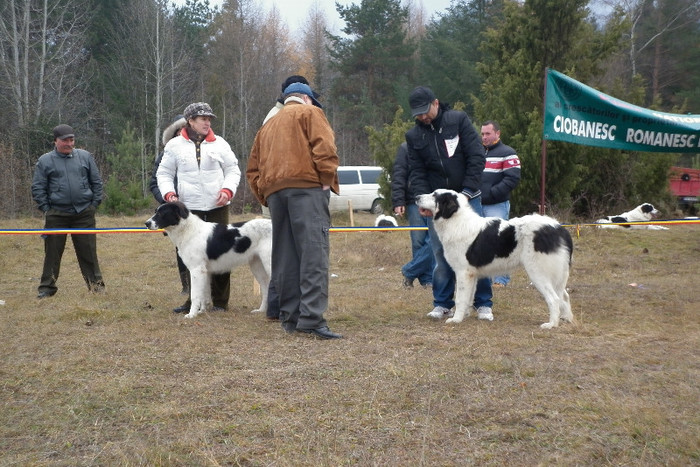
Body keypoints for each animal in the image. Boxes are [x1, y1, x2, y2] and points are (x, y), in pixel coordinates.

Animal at [416, 189, 576, 330]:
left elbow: (460, 298)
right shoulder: (472, 274)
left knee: (554, 299)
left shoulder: (463, 272)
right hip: (556, 275)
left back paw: (551, 324)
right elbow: (468, 297)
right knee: (565, 296)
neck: (456, 221)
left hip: (538, 272)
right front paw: (464, 315)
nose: (416, 197)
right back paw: (566, 318)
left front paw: (456, 319)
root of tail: (559, 228)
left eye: (434, 195)